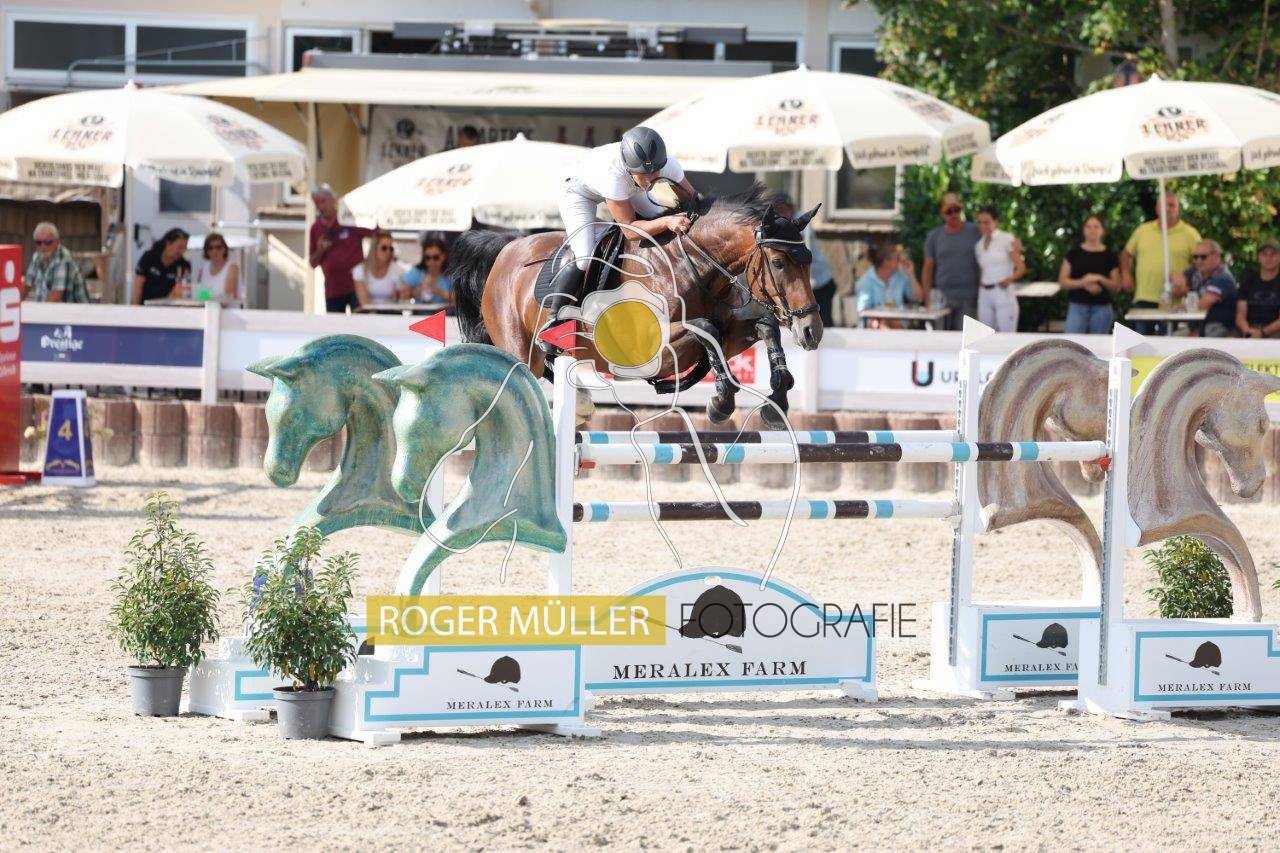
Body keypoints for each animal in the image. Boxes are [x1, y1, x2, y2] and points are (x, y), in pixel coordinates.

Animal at [449, 184, 822, 429]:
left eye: (809, 263)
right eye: (778, 263)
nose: (812, 331)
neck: (687, 266)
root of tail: (506, 248)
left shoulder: (729, 334)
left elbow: (764, 327)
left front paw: (777, 402)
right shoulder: (649, 348)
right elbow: (706, 328)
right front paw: (721, 402)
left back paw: (582, 403)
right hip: (518, 346)